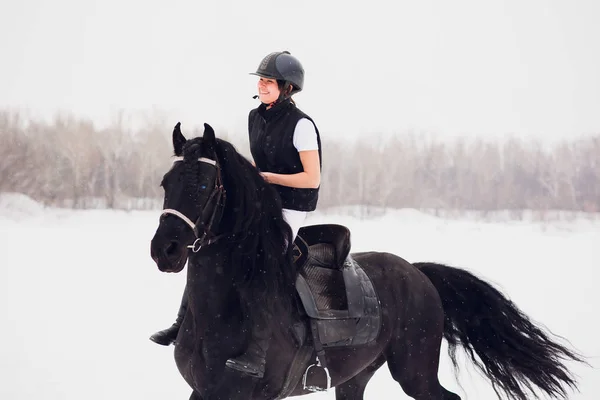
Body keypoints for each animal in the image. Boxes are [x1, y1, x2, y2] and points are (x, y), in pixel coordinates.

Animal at [150, 122, 584, 400]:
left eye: (205, 185)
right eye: (166, 183)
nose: (164, 251)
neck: (222, 311)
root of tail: (418, 273)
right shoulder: (202, 392)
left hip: (414, 372)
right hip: (356, 377)